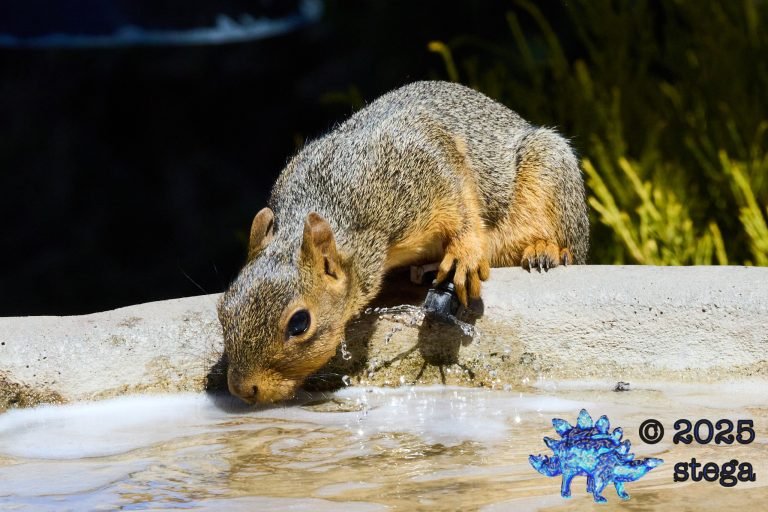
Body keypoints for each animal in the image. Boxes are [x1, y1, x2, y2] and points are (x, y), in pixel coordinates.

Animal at [218, 81, 589, 404]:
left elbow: (462, 206)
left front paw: (464, 256)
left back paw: (545, 250)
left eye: (299, 323)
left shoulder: (427, 166)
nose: (242, 389)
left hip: (551, 173)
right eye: (222, 308)